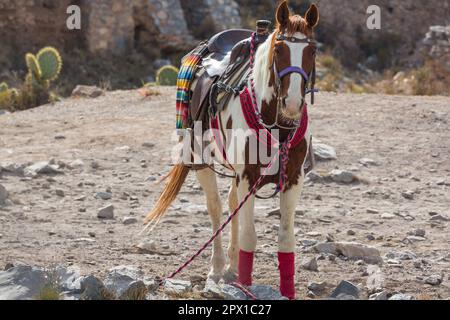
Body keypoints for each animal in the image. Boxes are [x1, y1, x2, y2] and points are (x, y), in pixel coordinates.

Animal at [146, 1, 318, 300]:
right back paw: (217, 269)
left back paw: (231, 266)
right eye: (279, 50)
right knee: (216, 208)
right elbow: (250, 234)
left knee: (231, 204)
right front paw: (246, 287)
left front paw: (286, 290)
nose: (293, 104)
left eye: (312, 51)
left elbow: (286, 239)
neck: (276, 125)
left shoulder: (294, 178)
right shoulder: (248, 175)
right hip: (201, 162)